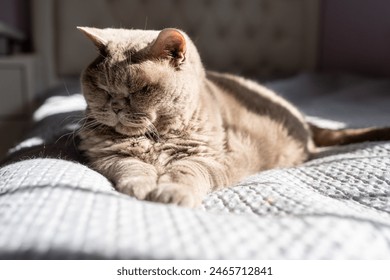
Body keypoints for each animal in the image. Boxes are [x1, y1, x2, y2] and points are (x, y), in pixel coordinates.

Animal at [77, 27, 390, 207]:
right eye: (101, 87)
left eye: (142, 89)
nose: (116, 104)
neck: (155, 137)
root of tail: (302, 119)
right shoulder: (108, 156)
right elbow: (132, 167)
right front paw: (142, 186)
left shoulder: (209, 159)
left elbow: (184, 172)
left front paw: (170, 192)